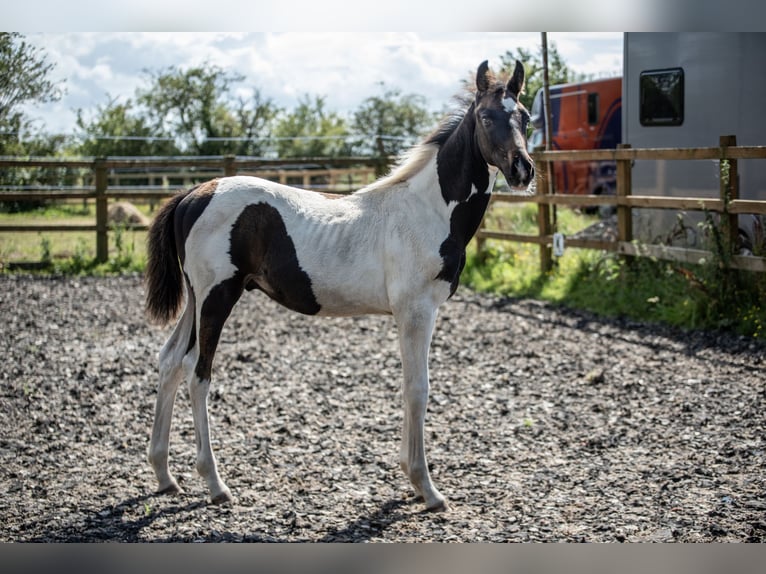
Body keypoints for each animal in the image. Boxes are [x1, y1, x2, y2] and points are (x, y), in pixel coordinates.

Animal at [147, 59, 536, 512]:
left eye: (525, 117)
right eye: (487, 117)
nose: (522, 170)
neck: (427, 210)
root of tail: (193, 194)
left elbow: (410, 388)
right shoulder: (415, 311)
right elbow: (417, 389)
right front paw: (426, 487)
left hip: (195, 301)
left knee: (171, 361)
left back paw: (164, 475)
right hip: (216, 298)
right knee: (198, 374)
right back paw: (214, 483)